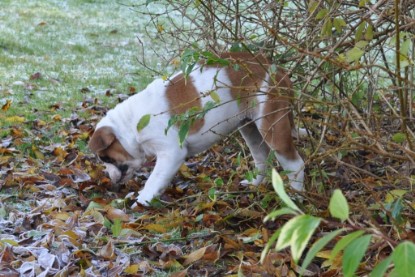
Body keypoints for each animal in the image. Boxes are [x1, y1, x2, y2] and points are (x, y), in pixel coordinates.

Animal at [88, 51, 306, 205]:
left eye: (105, 158)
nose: (110, 177)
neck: (131, 125)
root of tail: (277, 70)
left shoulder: (171, 153)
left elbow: (154, 180)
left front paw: (141, 201)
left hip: (273, 127)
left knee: (295, 164)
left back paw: (296, 198)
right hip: (249, 127)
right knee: (261, 157)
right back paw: (254, 185)